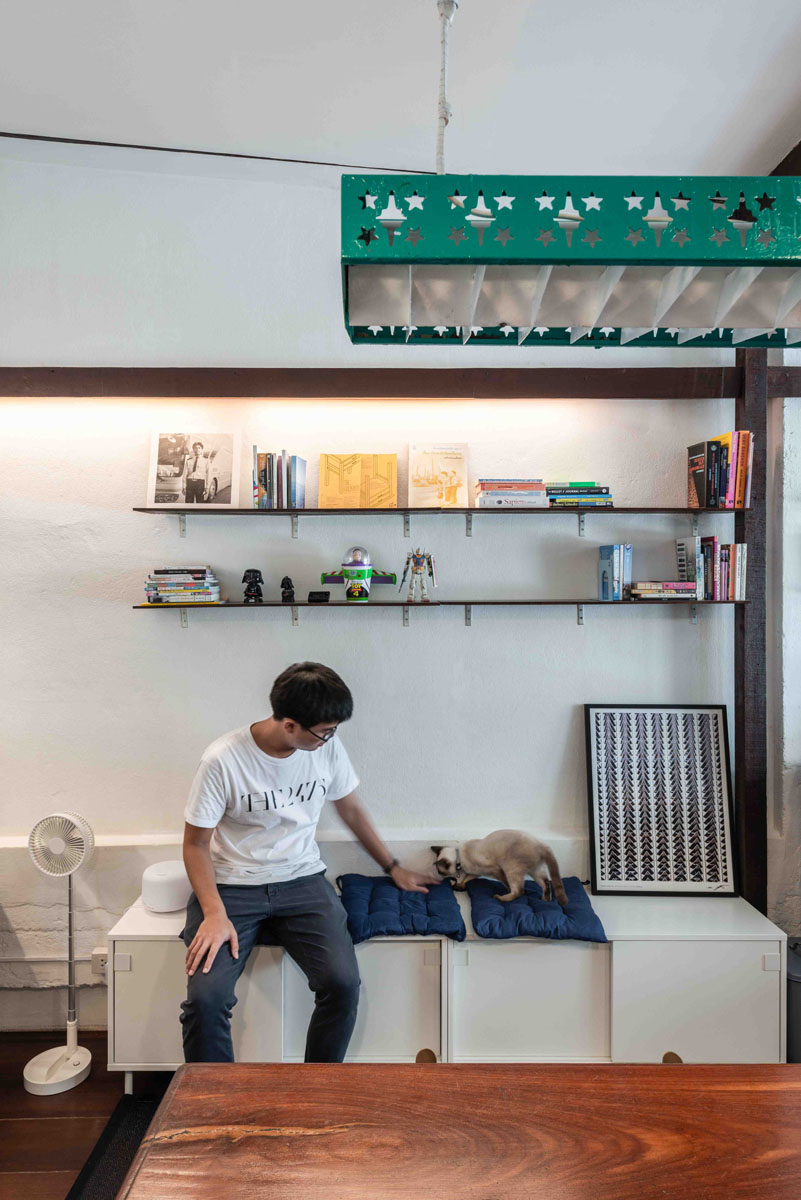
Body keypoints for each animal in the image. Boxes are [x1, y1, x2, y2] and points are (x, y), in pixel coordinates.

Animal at [431, 829, 568, 905]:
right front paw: (460, 885)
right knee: (546, 882)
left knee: (519, 890)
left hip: (511, 868)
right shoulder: (475, 872)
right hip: (534, 871)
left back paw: (500, 898)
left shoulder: (495, 870)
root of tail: (541, 844)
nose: (438, 874)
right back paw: (545, 899)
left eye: (439, 871)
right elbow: (466, 878)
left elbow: (506, 883)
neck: (460, 856)